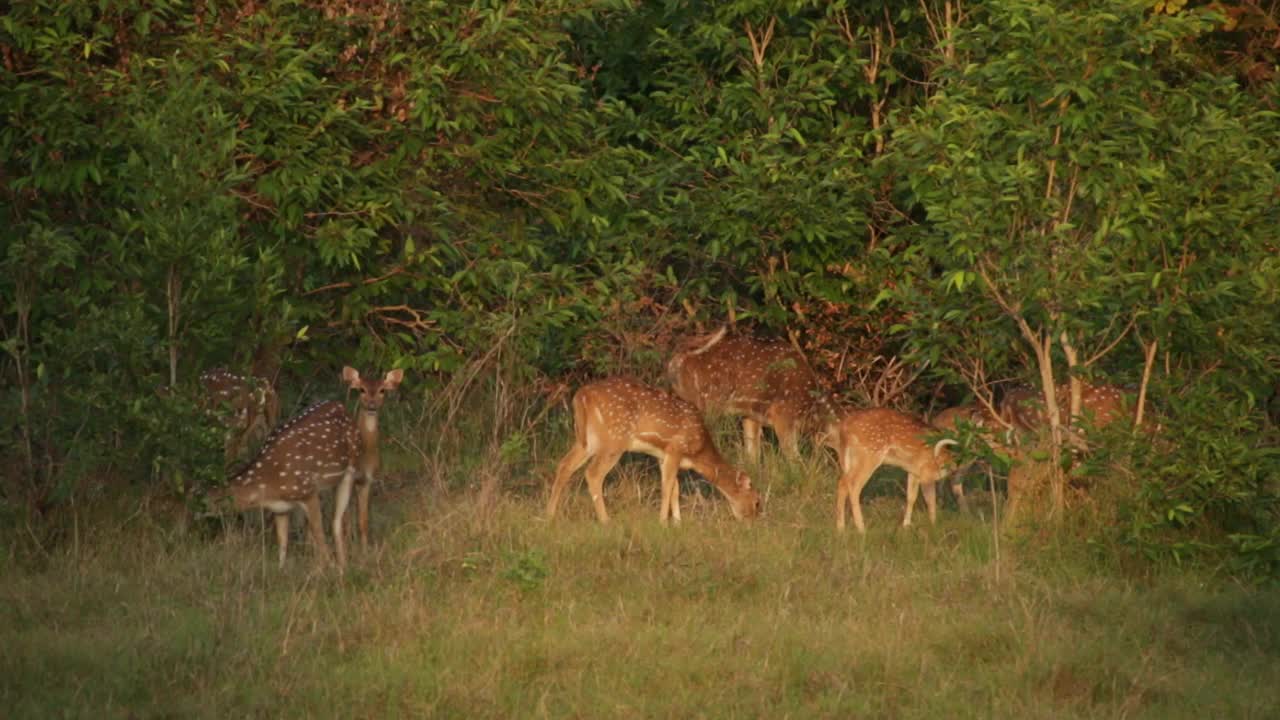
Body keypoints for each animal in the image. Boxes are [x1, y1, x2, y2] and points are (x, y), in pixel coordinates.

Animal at [215, 366, 404, 563]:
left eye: (383, 390)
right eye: (361, 390)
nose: (372, 404)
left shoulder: (309, 493)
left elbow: (321, 535)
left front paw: (329, 565)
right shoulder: (280, 507)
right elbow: (283, 544)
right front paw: (283, 568)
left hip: (345, 476)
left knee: (336, 521)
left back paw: (342, 563)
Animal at [547, 376, 757, 520]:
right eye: (757, 501)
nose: (752, 522)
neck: (697, 452)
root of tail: (581, 396)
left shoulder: (662, 455)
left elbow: (675, 488)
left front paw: (677, 523)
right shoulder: (675, 448)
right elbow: (667, 486)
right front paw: (663, 522)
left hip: (588, 439)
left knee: (564, 465)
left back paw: (549, 516)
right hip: (615, 438)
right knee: (593, 473)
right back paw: (605, 520)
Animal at [824, 407, 957, 530]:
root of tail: (844, 428)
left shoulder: (914, 471)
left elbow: (911, 497)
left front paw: (906, 525)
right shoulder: (926, 472)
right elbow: (931, 500)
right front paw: (933, 526)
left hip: (846, 459)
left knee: (842, 483)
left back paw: (841, 528)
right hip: (869, 455)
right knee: (854, 486)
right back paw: (861, 528)